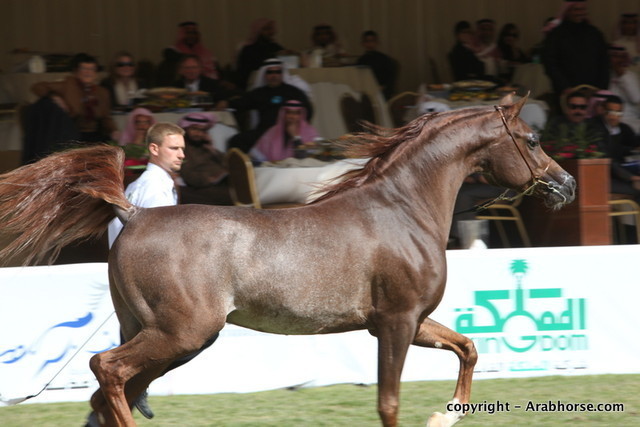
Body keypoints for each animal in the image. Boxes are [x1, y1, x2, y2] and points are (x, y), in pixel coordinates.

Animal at [0, 94, 575, 426]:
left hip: (159, 335)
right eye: (532, 139)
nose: (567, 185)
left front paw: (445, 415)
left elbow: (469, 348)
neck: (402, 210)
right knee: (108, 370)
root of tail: (134, 213)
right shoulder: (395, 322)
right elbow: (389, 402)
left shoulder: (408, 321)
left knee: (107, 393)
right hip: (181, 333)